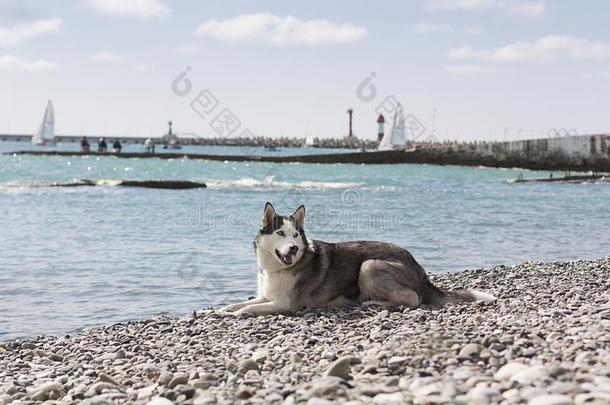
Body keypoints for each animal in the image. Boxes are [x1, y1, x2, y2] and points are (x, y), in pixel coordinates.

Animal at [220, 202, 494, 316]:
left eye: (295, 235)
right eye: (280, 234)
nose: (293, 248)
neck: (275, 269)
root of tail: (419, 268)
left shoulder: (285, 303)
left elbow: (251, 308)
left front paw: (237, 314)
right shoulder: (266, 295)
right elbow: (242, 302)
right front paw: (225, 309)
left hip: (369, 265)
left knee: (412, 299)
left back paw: (374, 303)